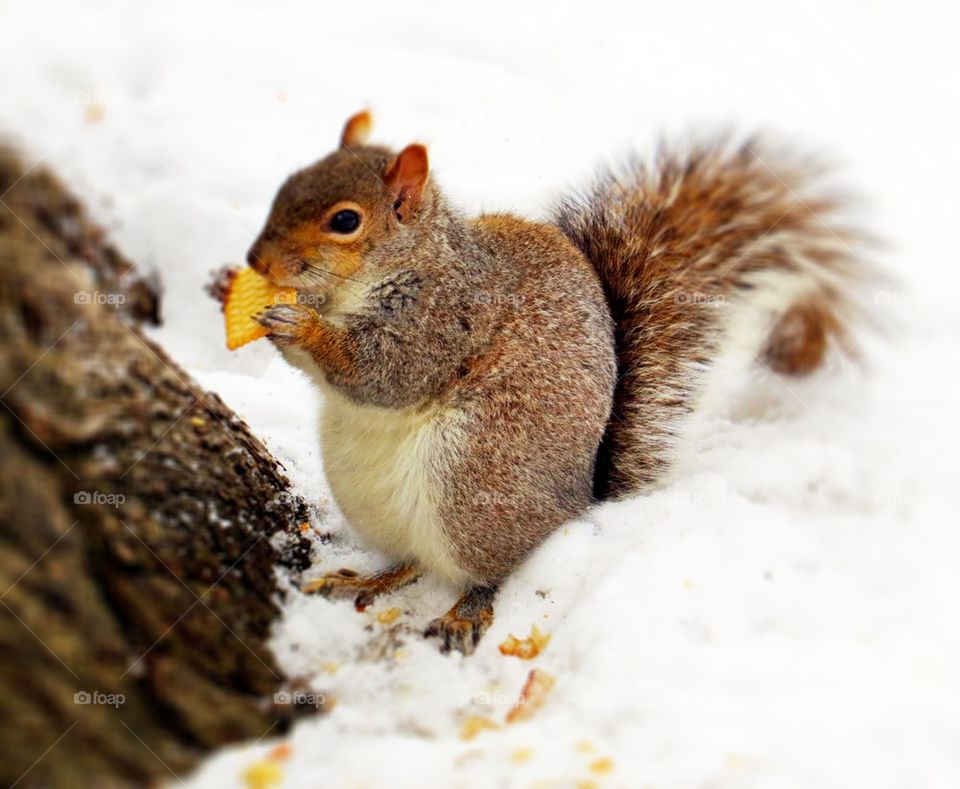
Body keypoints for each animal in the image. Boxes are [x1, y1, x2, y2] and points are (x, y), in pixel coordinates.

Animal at [221, 110, 866, 655]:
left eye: (345, 221)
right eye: (287, 185)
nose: (256, 260)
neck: (403, 265)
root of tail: (579, 497)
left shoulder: (444, 320)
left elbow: (384, 372)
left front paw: (302, 324)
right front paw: (232, 287)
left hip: (472, 484)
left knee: (488, 569)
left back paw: (466, 610)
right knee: (417, 559)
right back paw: (373, 578)